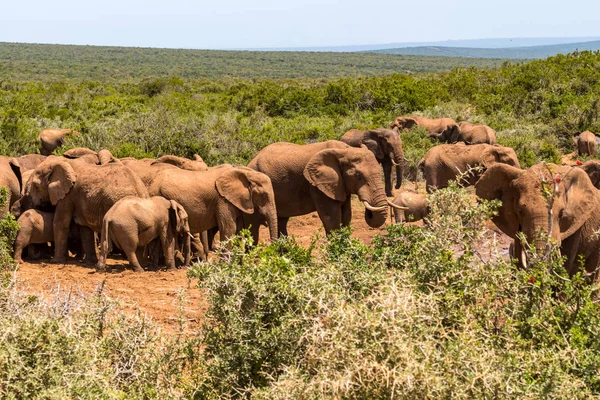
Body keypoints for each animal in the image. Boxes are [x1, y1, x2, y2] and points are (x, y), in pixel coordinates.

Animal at [16, 155, 149, 264]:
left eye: (36, 186)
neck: (61, 162)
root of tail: (142, 192)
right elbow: (85, 228)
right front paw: (88, 262)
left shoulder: (68, 195)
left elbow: (61, 222)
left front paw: (56, 261)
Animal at [246, 141, 396, 241]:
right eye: (358, 176)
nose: (369, 212)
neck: (344, 151)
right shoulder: (317, 186)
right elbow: (332, 219)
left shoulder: (339, 185)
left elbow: (346, 216)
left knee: (281, 221)